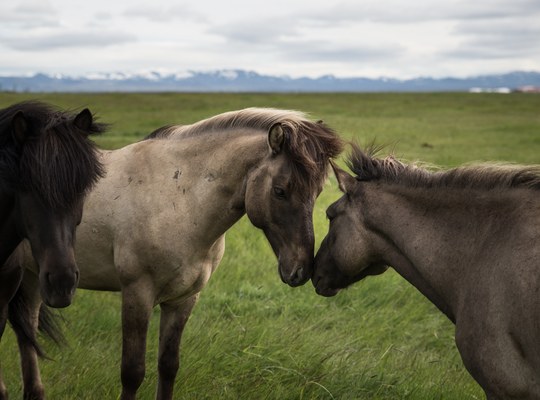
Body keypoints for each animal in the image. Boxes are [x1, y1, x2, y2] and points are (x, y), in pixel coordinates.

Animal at [9, 108, 342, 398]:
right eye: (280, 191)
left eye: (317, 192)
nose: (300, 270)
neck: (178, 198)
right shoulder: (137, 293)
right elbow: (132, 372)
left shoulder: (184, 299)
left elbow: (168, 366)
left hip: (36, 278)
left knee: (27, 331)